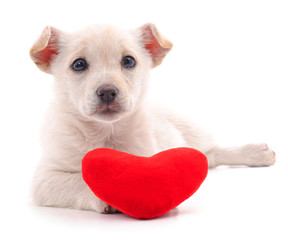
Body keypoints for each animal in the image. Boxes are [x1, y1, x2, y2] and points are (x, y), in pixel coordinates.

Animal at [30, 23, 276, 213]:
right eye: (79, 64)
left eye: (129, 61)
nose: (108, 92)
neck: (107, 133)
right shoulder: (45, 180)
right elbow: (80, 181)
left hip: (189, 129)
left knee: (212, 151)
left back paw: (256, 153)